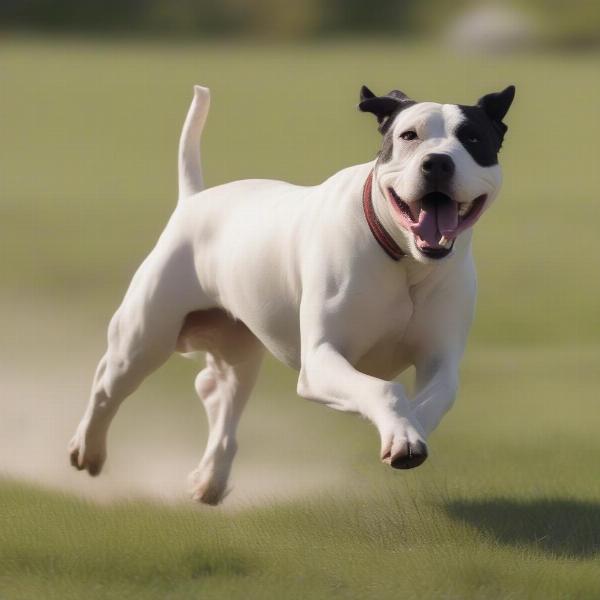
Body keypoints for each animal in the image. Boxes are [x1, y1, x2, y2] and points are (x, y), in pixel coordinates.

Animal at [67, 83, 516, 506]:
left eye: (472, 138)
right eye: (409, 135)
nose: (437, 161)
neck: (404, 260)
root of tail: (194, 199)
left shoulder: (441, 357)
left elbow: (437, 395)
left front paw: (409, 430)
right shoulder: (320, 360)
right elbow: (385, 389)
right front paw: (401, 430)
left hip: (238, 347)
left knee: (218, 393)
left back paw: (209, 480)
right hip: (145, 336)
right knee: (108, 384)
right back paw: (88, 449)